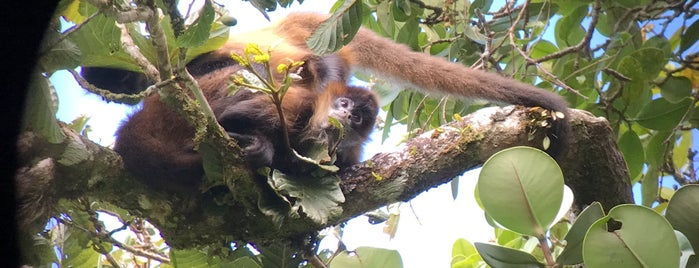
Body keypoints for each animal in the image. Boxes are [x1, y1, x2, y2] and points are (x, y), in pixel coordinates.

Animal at [85, 12, 568, 192]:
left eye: (358, 122)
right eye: (345, 112)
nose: (346, 117)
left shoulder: (347, 154)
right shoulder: (295, 104)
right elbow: (237, 114)